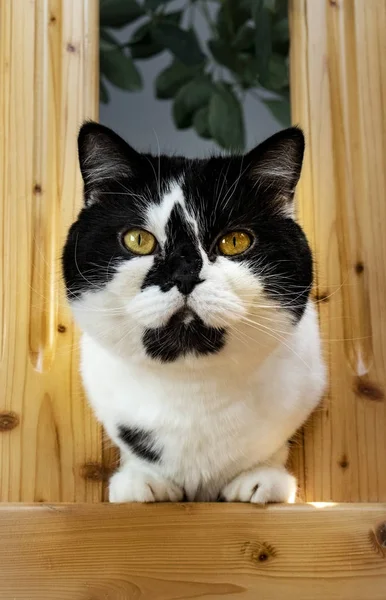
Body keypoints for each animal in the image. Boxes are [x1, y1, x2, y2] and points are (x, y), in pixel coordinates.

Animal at [62, 120, 326, 502]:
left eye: (235, 241)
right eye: (138, 240)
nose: (185, 274)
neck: (193, 386)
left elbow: (272, 449)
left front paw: (260, 479)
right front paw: (142, 481)